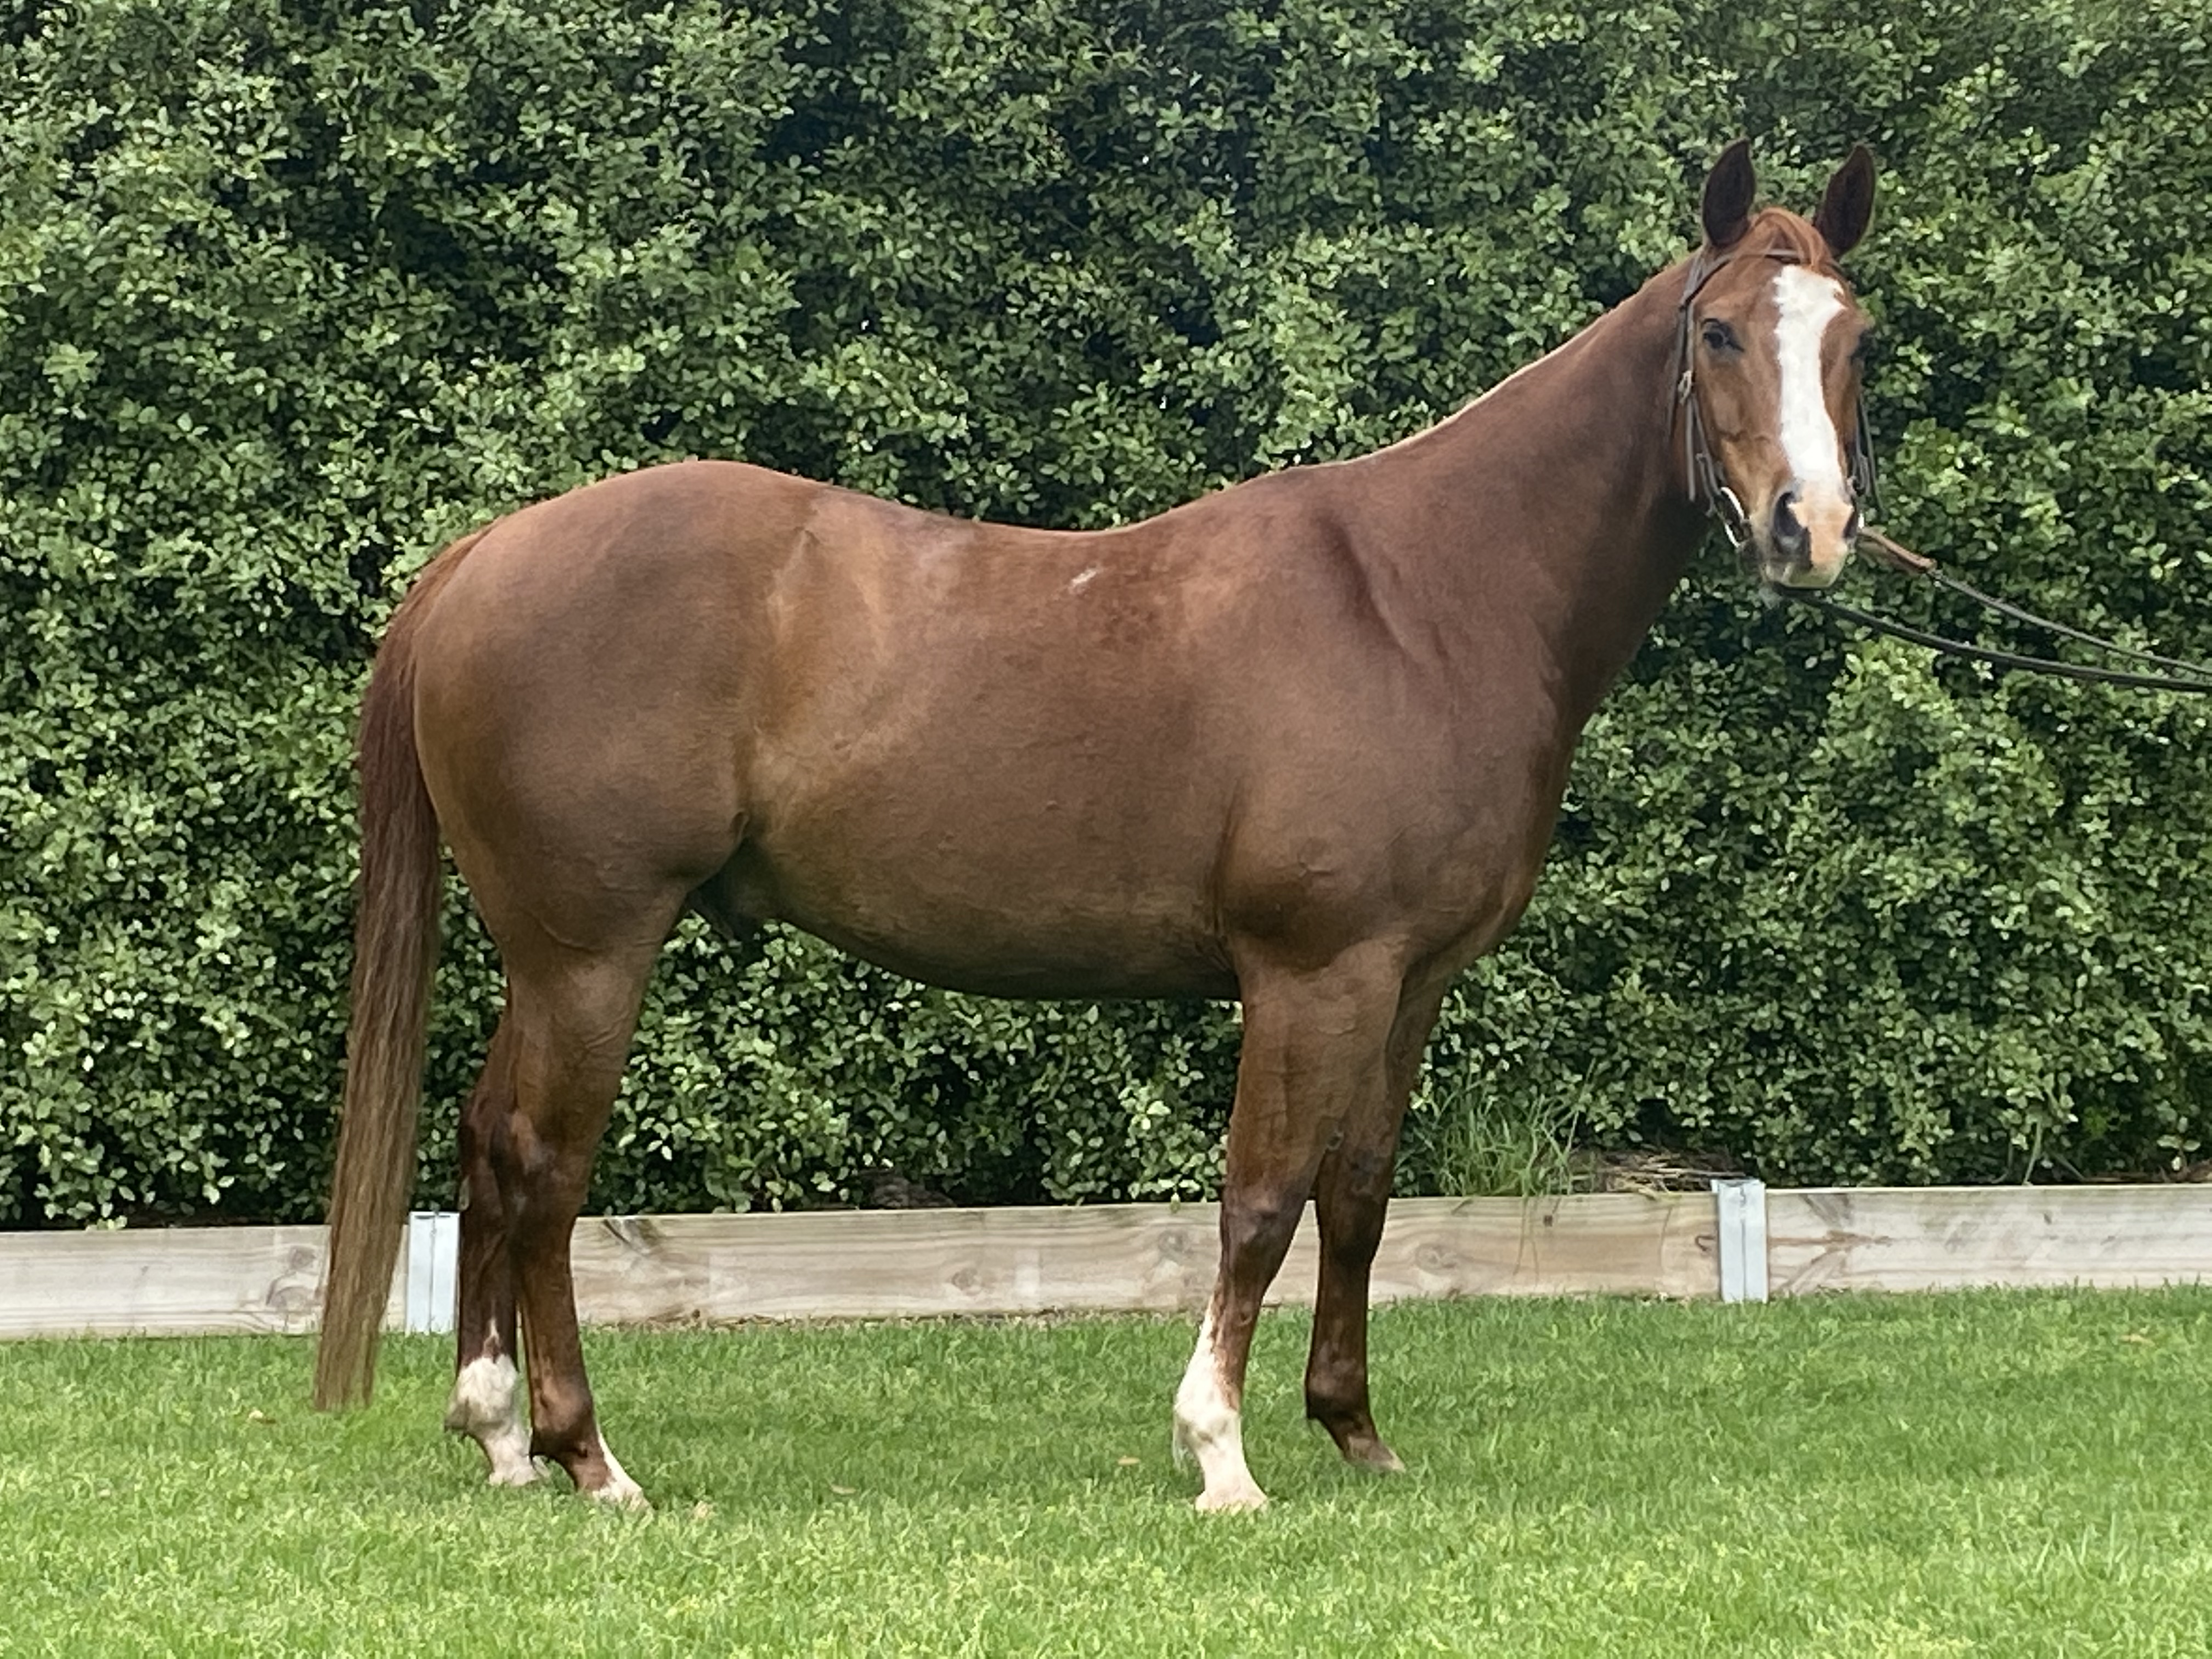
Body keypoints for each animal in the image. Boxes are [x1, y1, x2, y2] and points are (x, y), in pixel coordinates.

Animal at [314, 140, 1877, 1512]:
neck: (1425, 599)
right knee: (543, 1168)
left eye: (1854, 341)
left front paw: (1355, 1435)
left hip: (545, 958)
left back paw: (500, 1438)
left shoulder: (1406, 982)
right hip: (592, 951)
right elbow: (1262, 1200)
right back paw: (588, 1457)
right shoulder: (1312, 975)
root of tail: (482, 556)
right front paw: (1221, 1457)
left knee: (487, 1147)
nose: (1808, 530)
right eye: (1722, 334)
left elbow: (1360, 1197)